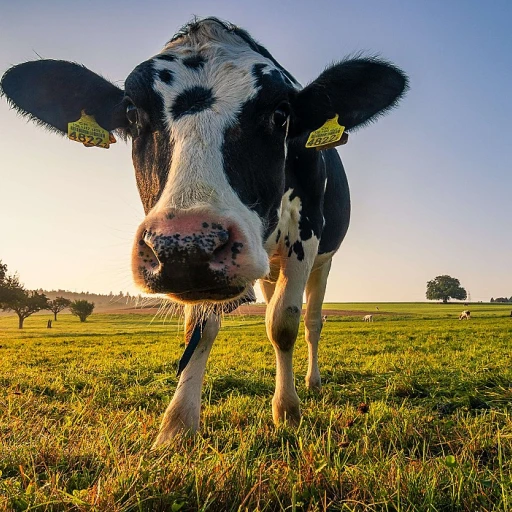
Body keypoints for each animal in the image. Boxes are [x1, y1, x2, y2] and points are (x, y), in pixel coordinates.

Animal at [0, 18, 408, 446]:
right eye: (131, 112)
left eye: (281, 114)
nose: (186, 245)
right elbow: (199, 329)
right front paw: (178, 423)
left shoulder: (306, 235)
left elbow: (283, 323)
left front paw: (287, 412)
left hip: (323, 261)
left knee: (312, 322)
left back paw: (310, 381)